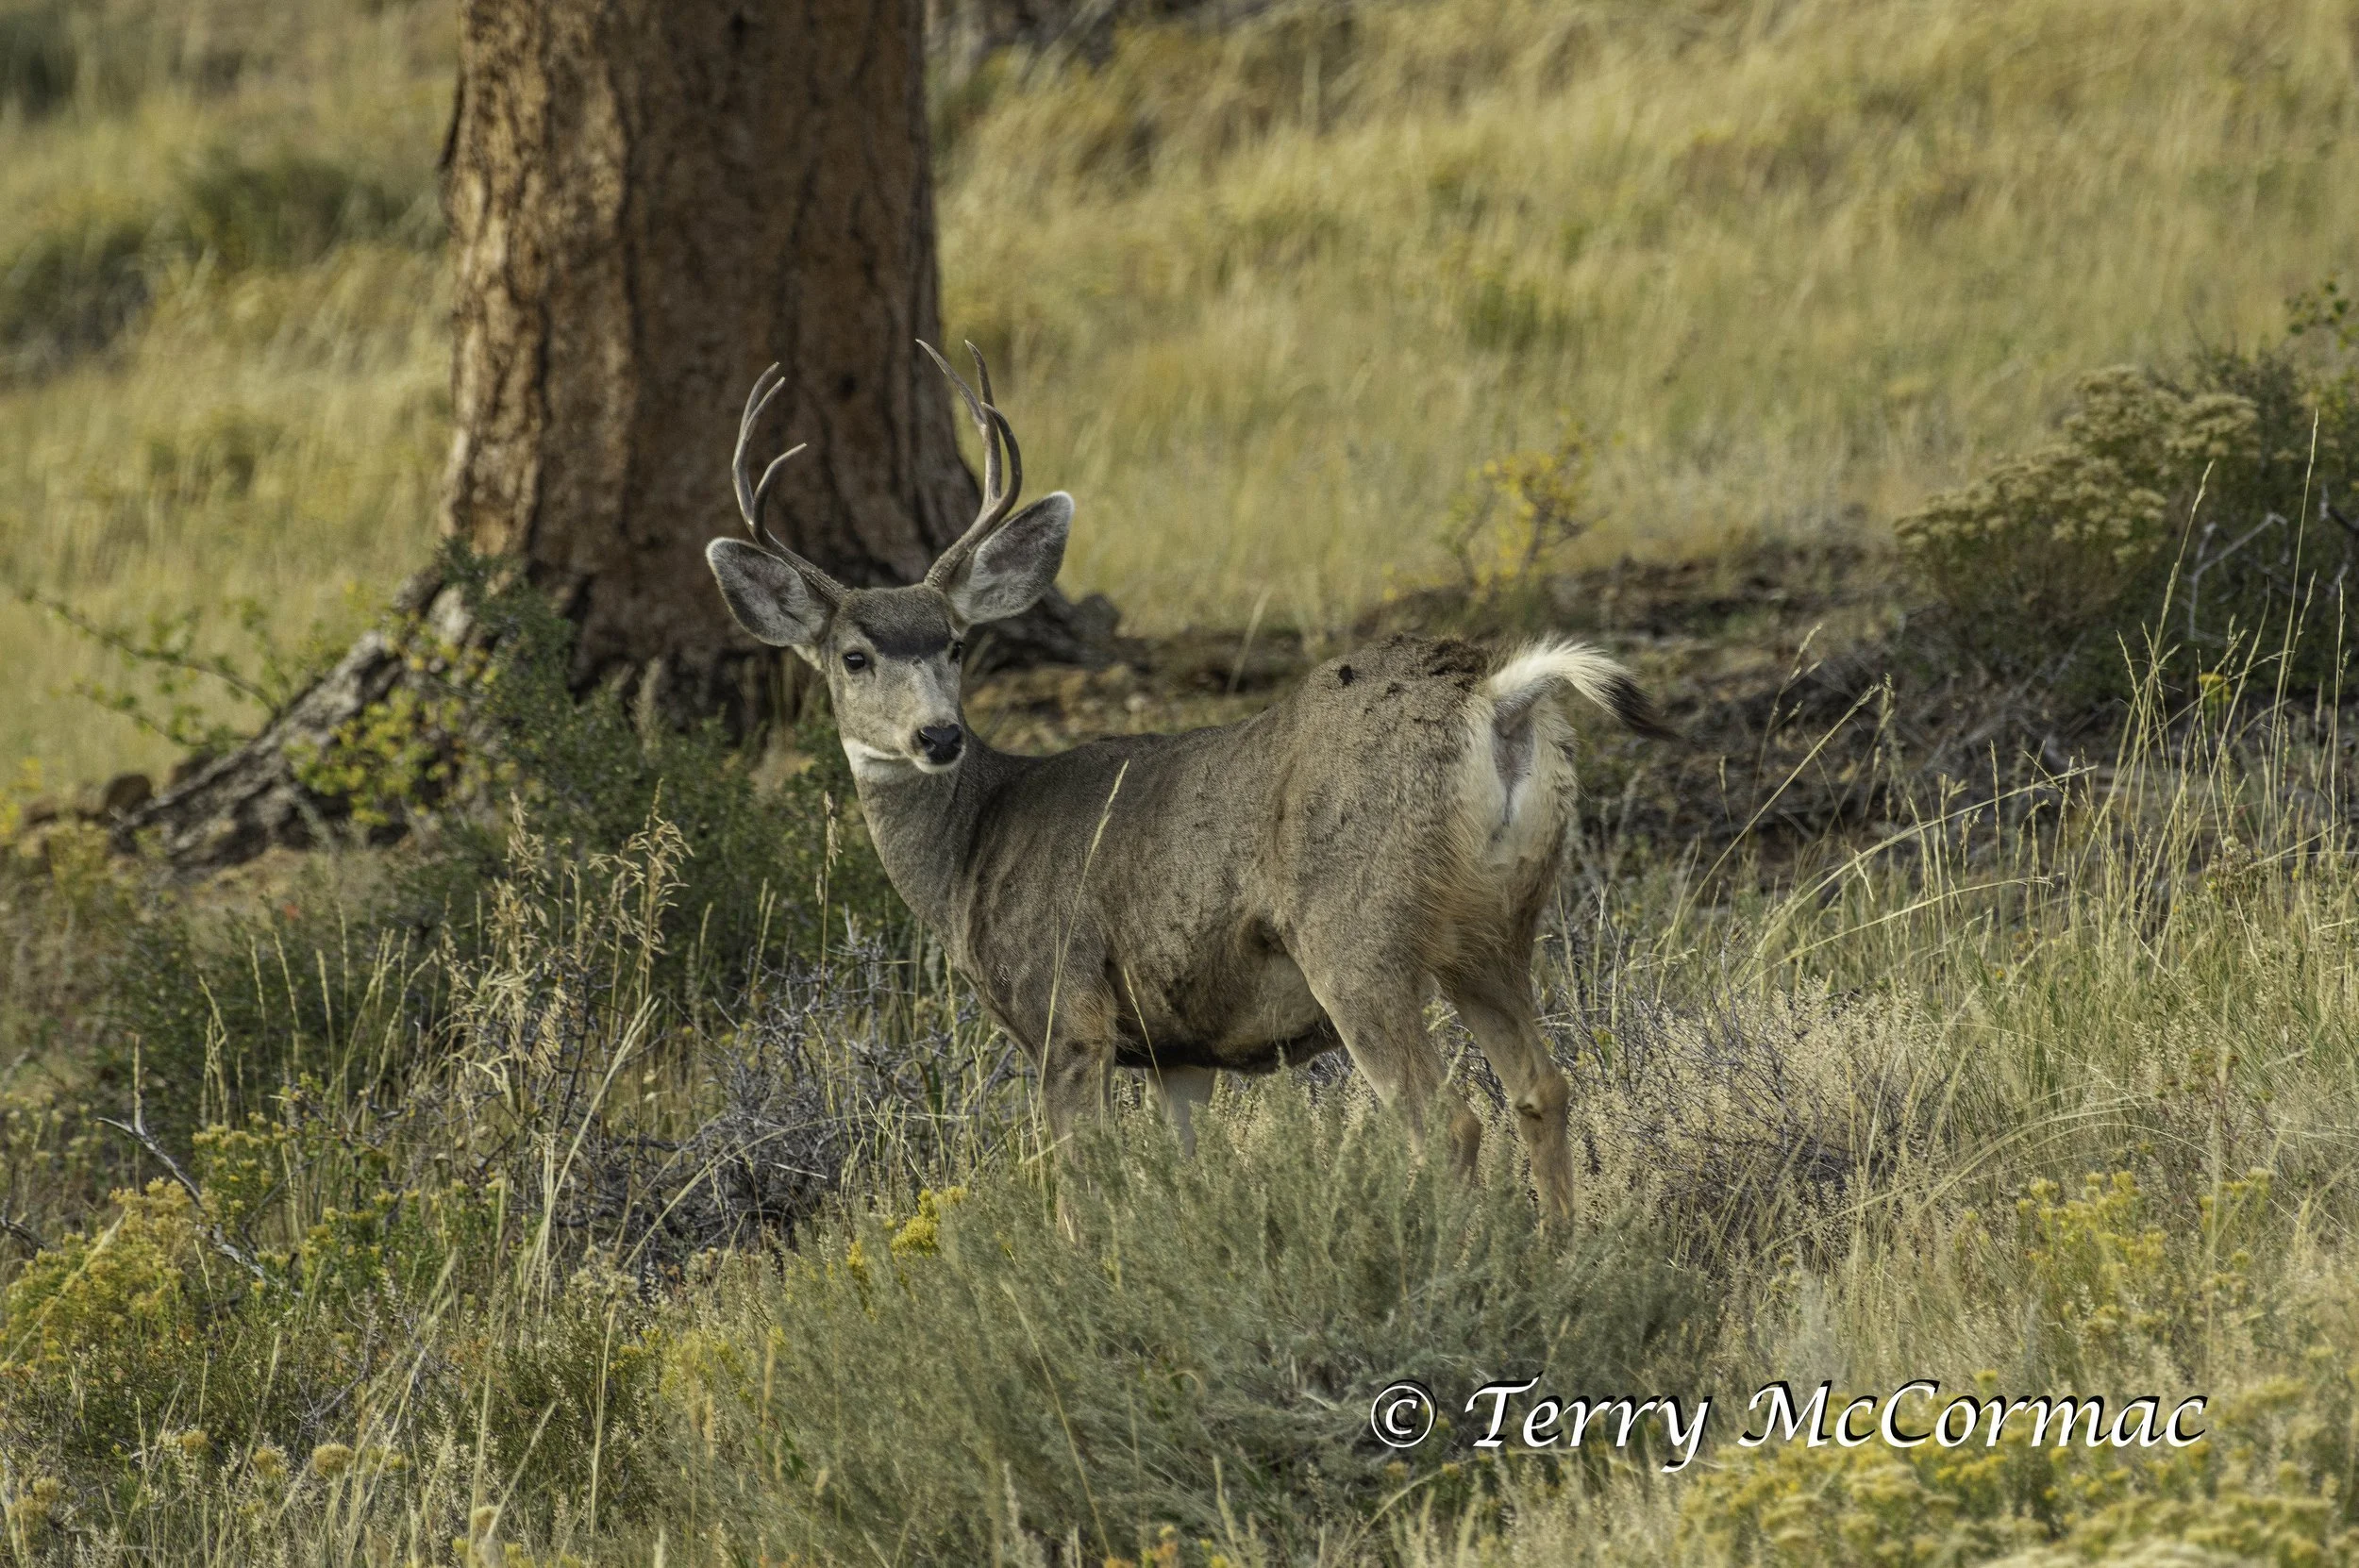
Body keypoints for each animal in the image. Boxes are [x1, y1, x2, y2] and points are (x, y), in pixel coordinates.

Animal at [705, 347, 1674, 1222]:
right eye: (854, 655)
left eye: (953, 642)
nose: (936, 735)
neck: (973, 846)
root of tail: (1499, 695)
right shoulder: (1181, 1051)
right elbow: (1187, 1175)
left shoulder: (1065, 1008)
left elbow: (1081, 1193)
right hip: (1499, 923)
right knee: (1544, 1088)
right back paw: (1557, 1253)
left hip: (1357, 931)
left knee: (1448, 1123)